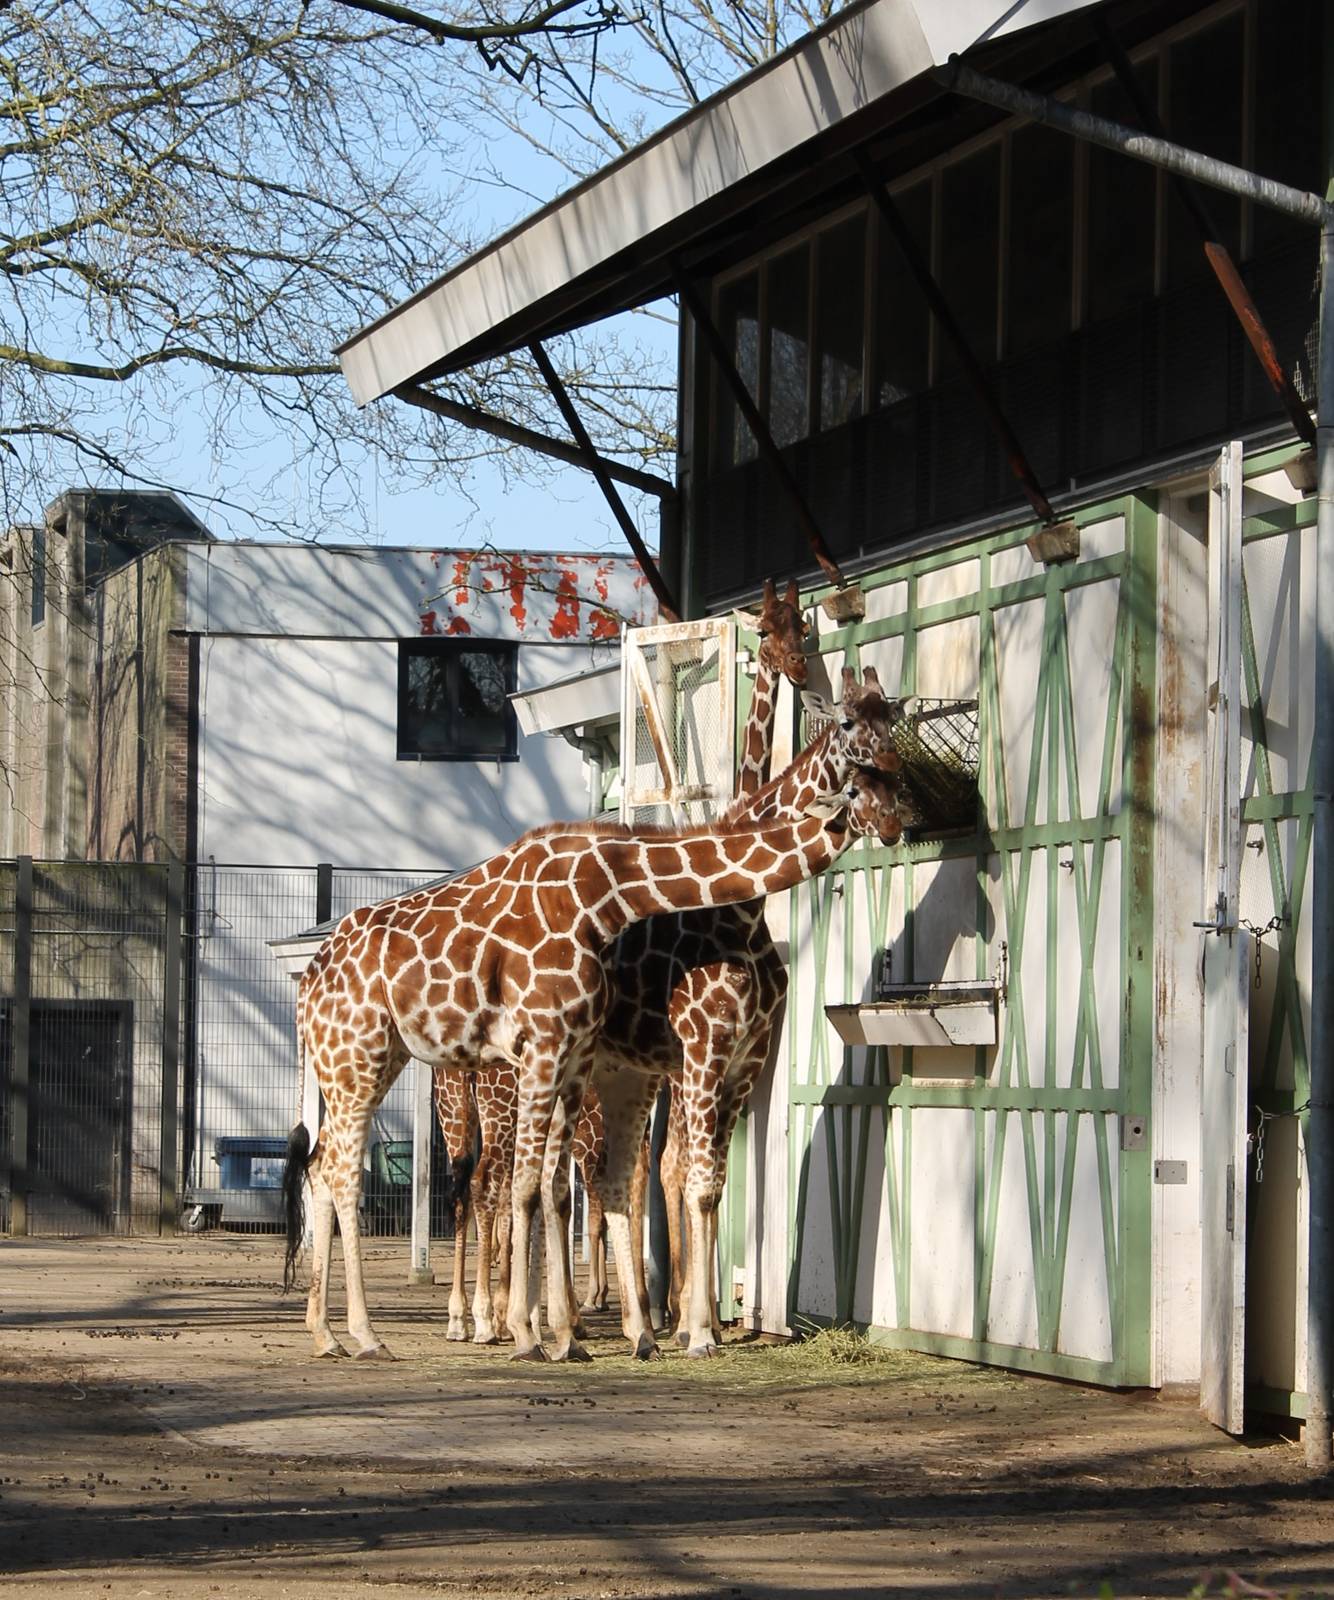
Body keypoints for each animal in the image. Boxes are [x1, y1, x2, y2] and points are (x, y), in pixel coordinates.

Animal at [282, 771, 902, 1364]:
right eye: (860, 788)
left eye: (892, 781)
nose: (899, 825)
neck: (605, 889)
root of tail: (307, 982)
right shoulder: (569, 1048)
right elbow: (540, 1187)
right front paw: (540, 1333)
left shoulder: (581, 1057)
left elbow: (566, 1188)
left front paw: (572, 1333)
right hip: (364, 1060)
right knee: (359, 1174)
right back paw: (377, 1334)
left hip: (370, 1060)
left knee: (321, 1166)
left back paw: (326, 1333)